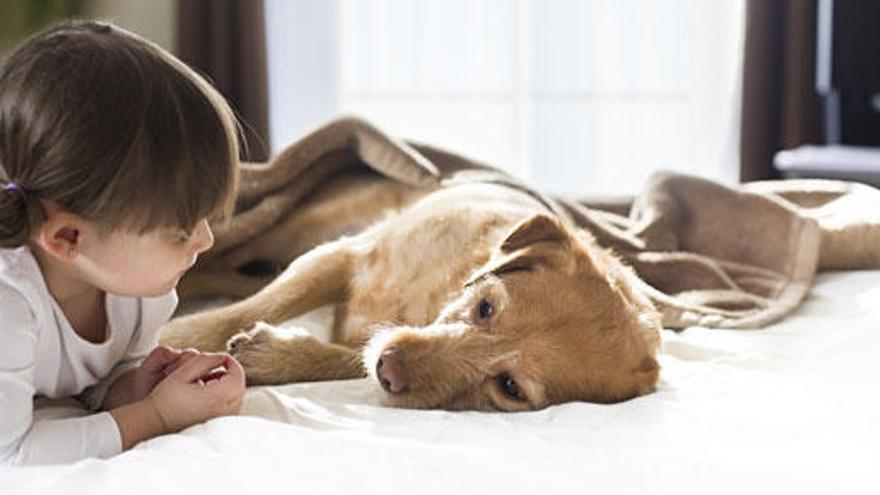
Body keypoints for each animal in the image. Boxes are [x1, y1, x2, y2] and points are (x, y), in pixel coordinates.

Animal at [163, 178, 660, 410]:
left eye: (510, 386)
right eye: (485, 308)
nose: (390, 369)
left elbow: (345, 356)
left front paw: (275, 355)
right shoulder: (342, 254)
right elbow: (251, 309)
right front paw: (175, 335)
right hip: (288, 230)